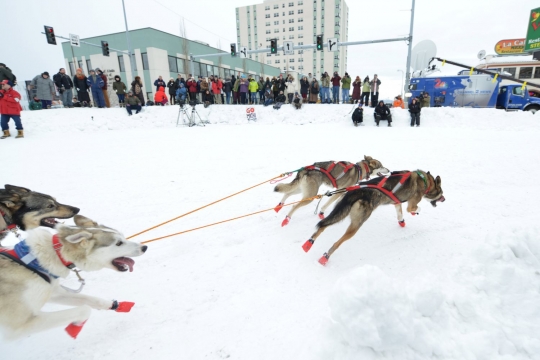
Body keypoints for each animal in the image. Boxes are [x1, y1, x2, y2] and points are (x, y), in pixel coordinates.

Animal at [0, 215, 148, 338]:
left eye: (123, 238)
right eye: (118, 243)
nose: (144, 247)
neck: (33, 261)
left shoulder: (54, 292)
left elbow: (93, 300)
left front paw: (116, 305)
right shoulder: (20, 326)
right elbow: (84, 309)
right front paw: (75, 328)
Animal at [302, 170, 446, 266]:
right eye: (441, 193)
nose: (444, 199)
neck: (426, 181)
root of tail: (356, 191)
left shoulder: (397, 202)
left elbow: (399, 212)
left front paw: (401, 222)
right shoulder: (411, 204)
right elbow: (412, 209)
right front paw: (415, 212)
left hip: (340, 212)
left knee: (323, 225)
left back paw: (309, 243)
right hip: (356, 225)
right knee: (337, 242)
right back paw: (325, 256)